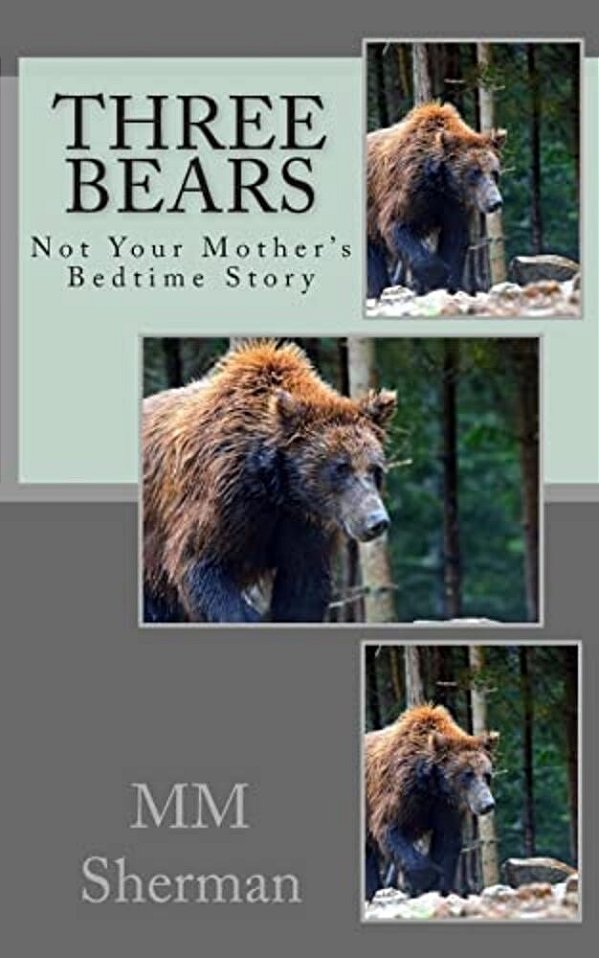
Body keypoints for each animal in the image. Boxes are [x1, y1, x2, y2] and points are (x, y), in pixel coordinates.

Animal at [143, 340, 397, 624]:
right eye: (341, 468)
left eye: (375, 469)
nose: (376, 521)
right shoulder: (219, 500)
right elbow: (201, 565)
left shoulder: (303, 524)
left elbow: (304, 587)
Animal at [365, 703, 498, 900]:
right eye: (468, 774)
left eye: (487, 775)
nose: (488, 804)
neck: (432, 786)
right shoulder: (399, 794)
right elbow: (390, 828)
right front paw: (429, 876)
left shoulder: (445, 807)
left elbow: (447, 841)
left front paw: (440, 885)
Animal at [367, 102, 507, 299]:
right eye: (475, 172)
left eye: (494, 172)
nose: (495, 201)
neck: (441, 183)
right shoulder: (407, 192)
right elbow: (397, 226)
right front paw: (437, 274)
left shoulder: (453, 205)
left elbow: (455, 239)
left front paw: (449, 283)